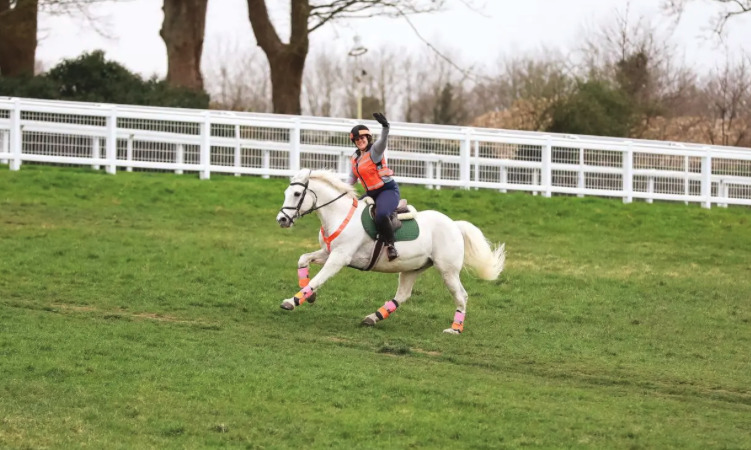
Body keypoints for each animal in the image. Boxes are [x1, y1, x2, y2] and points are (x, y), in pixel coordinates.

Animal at [276, 169, 506, 334]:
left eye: (297, 194)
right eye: (286, 193)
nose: (282, 220)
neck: (339, 213)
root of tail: (455, 225)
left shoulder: (339, 258)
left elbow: (318, 279)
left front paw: (292, 301)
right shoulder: (327, 253)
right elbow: (302, 260)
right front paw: (308, 296)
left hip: (447, 271)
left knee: (461, 296)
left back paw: (455, 329)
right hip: (411, 268)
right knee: (402, 296)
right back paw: (372, 317)